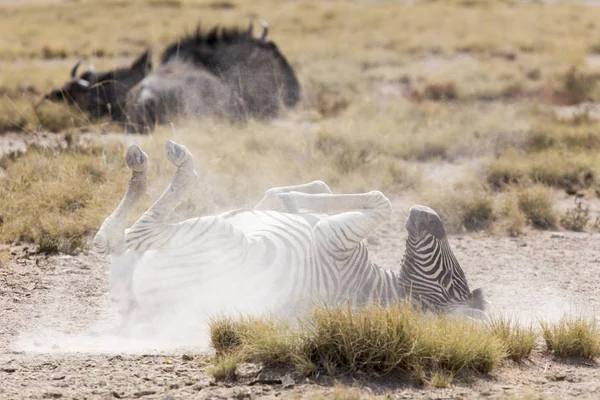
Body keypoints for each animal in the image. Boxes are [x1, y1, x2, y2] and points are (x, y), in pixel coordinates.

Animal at [94, 141, 488, 328]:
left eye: (451, 281)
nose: (426, 213)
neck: (378, 287)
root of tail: (147, 313)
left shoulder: (333, 237)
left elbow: (382, 199)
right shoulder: (325, 225)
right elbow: (313, 190)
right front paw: (290, 198)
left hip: (210, 236)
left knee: (129, 233)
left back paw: (170, 161)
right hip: (130, 267)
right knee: (111, 239)